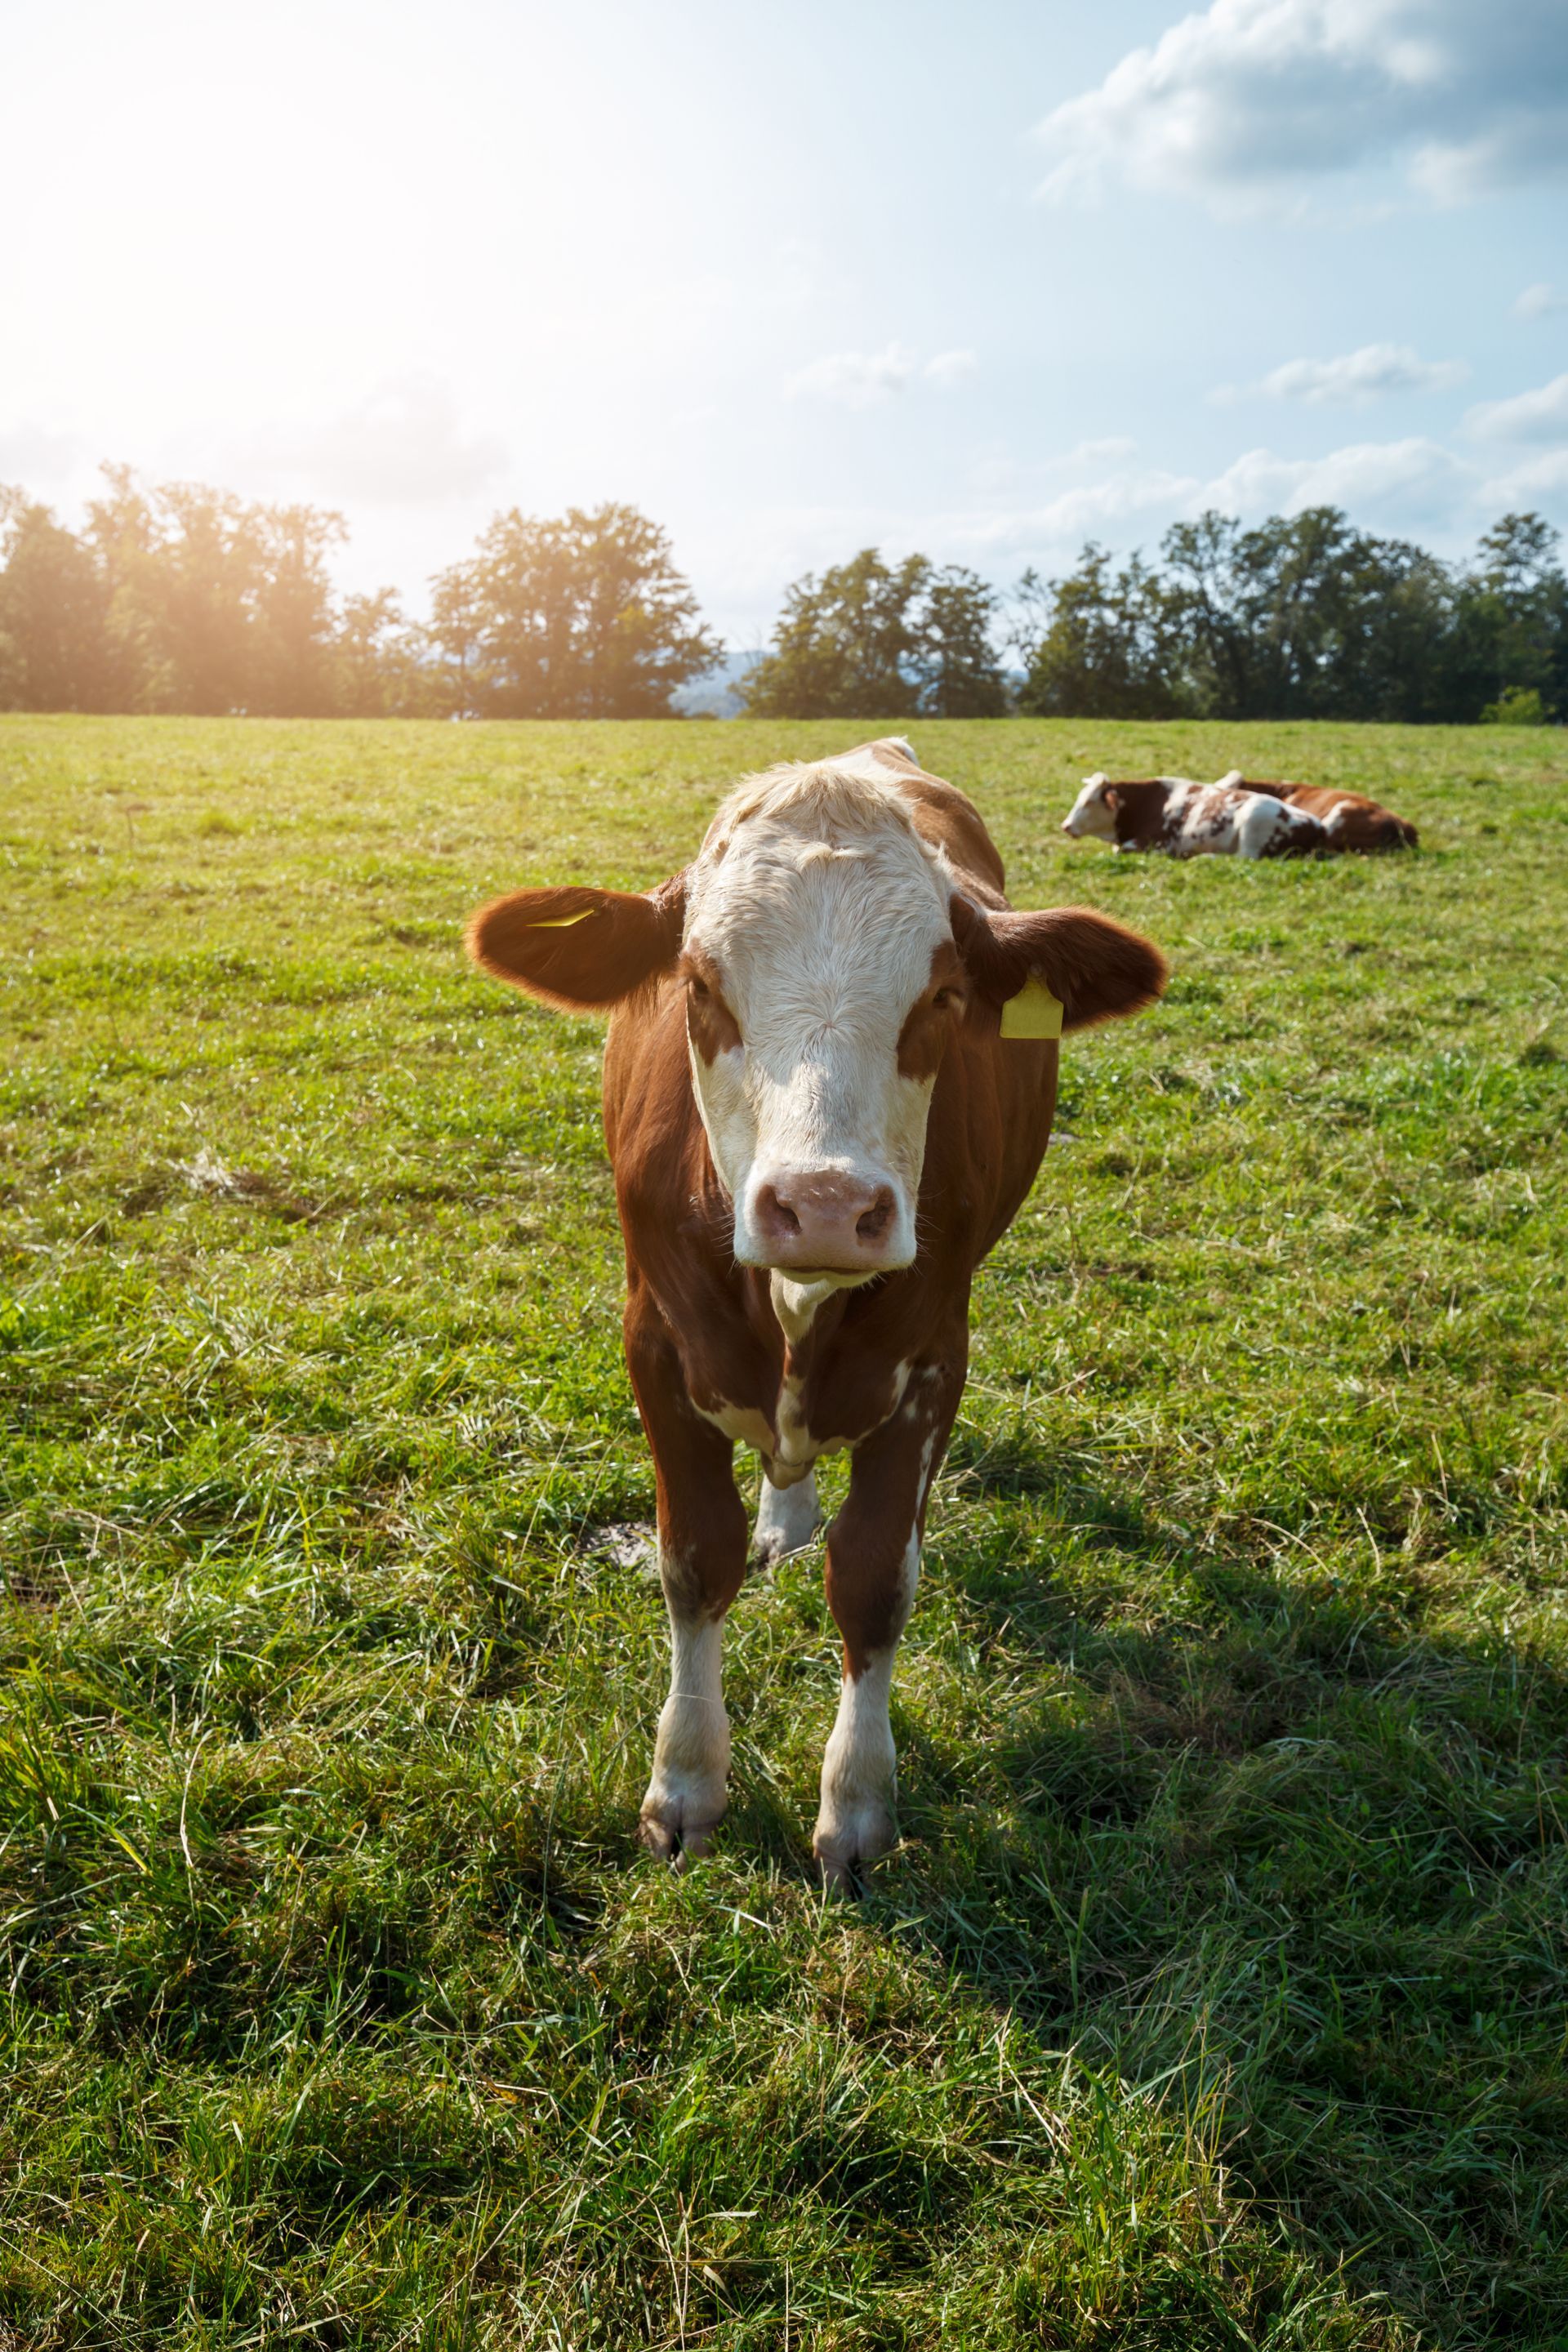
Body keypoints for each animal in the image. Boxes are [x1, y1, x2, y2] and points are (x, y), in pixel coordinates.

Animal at [467, 738, 1166, 1885]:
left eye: (942, 994)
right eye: (699, 985)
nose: (827, 1206)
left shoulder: (932, 1359)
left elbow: (876, 1577)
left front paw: (857, 1804)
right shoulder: (655, 1343)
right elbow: (693, 1559)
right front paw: (686, 1782)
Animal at [1061, 772, 1327, 860]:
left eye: (1088, 801)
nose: (1066, 826)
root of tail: (1317, 825)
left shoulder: (1158, 843)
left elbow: (1121, 850)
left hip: (1253, 820)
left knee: (1244, 858)